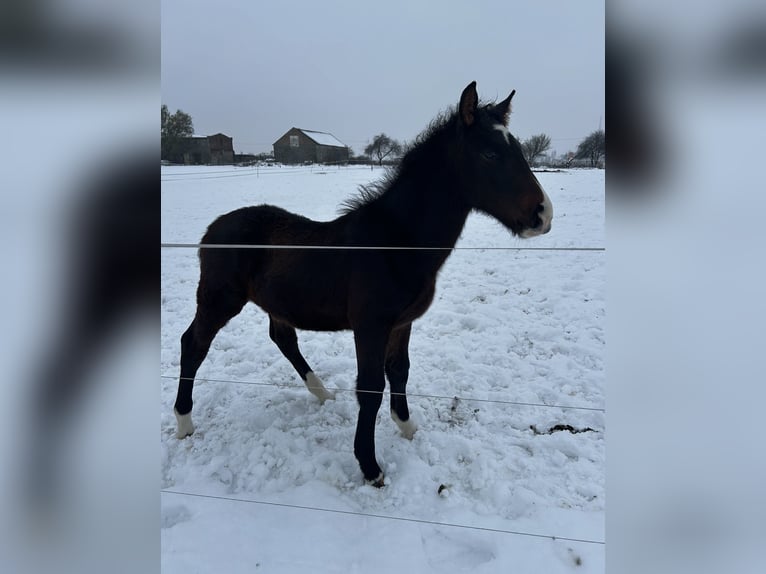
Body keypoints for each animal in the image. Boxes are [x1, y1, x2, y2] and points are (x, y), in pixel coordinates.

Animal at [173, 82, 553, 486]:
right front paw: (370, 467)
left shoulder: (402, 323)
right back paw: (184, 423)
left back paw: (322, 394)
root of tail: (212, 229)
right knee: (193, 344)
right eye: (489, 153)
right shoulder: (370, 325)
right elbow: (371, 387)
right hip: (219, 299)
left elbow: (399, 371)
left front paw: (407, 427)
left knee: (282, 337)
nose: (543, 214)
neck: (394, 243)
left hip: (273, 301)